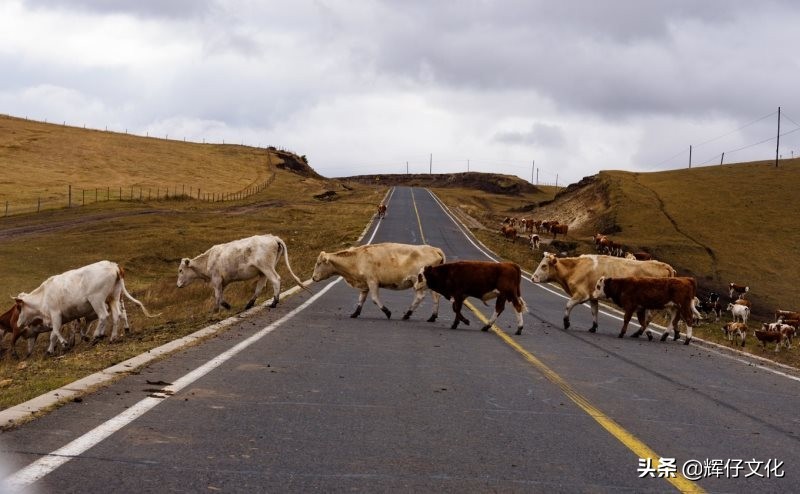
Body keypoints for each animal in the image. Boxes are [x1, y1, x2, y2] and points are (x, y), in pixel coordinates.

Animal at [14, 261, 157, 355]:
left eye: (19, 308)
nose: (18, 323)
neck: (43, 295)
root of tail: (113, 266)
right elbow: (57, 333)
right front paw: (52, 349)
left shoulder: (55, 314)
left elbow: (55, 332)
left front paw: (64, 344)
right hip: (113, 297)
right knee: (117, 315)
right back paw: (113, 337)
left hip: (97, 300)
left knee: (104, 316)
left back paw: (96, 336)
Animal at [312, 243, 445, 321]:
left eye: (318, 263)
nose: (313, 278)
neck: (357, 259)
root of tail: (434, 249)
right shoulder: (365, 284)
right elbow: (361, 299)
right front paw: (355, 313)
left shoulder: (372, 281)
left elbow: (374, 299)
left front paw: (387, 312)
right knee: (436, 297)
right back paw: (432, 316)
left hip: (419, 282)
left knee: (420, 297)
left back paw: (407, 314)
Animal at [531, 253, 676, 333]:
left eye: (544, 266)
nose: (533, 278)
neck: (575, 268)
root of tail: (664, 265)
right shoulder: (592, 296)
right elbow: (594, 311)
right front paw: (594, 327)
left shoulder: (581, 294)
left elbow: (568, 305)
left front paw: (566, 322)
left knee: (652, 317)